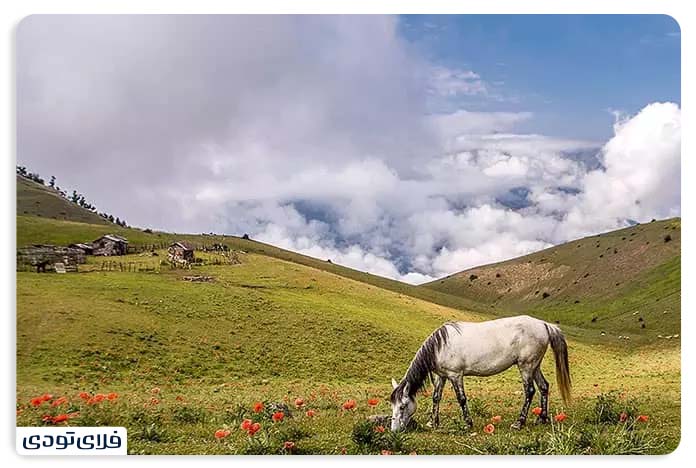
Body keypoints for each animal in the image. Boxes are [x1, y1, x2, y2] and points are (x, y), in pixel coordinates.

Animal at [386, 314, 572, 432]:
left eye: (402, 406)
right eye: (392, 405)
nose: (394, 430)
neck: (440, 346)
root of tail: (544, 324)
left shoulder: (455, 375)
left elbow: (461, 399)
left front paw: (468, 424)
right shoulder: (442, 376)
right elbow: (436, 397)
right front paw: (433, 423)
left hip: (526, 366)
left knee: (530, 391)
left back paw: (519, 423)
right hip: (534, 366)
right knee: (544, 387)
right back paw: (542, 419)